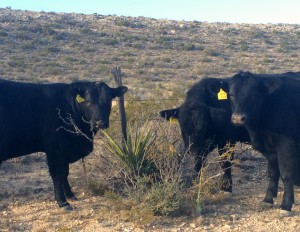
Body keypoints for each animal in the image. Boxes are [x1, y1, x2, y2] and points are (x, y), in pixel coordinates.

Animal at [0, 78, 127, 210]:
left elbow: (65, 173)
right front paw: (62, 202)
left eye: (108, 101)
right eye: (88, 101)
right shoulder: (54, 149)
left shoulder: (64, 150)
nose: (99, 123)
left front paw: (70, 195)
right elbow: (57, 175)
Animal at [230, 71, 300, 216]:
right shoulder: (269, 148)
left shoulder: (287, 144)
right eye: (231, 95)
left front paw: (286, 205)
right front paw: (267, 199)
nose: (238, 118)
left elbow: (286, 174)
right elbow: (273, 172)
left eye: (253, 95)